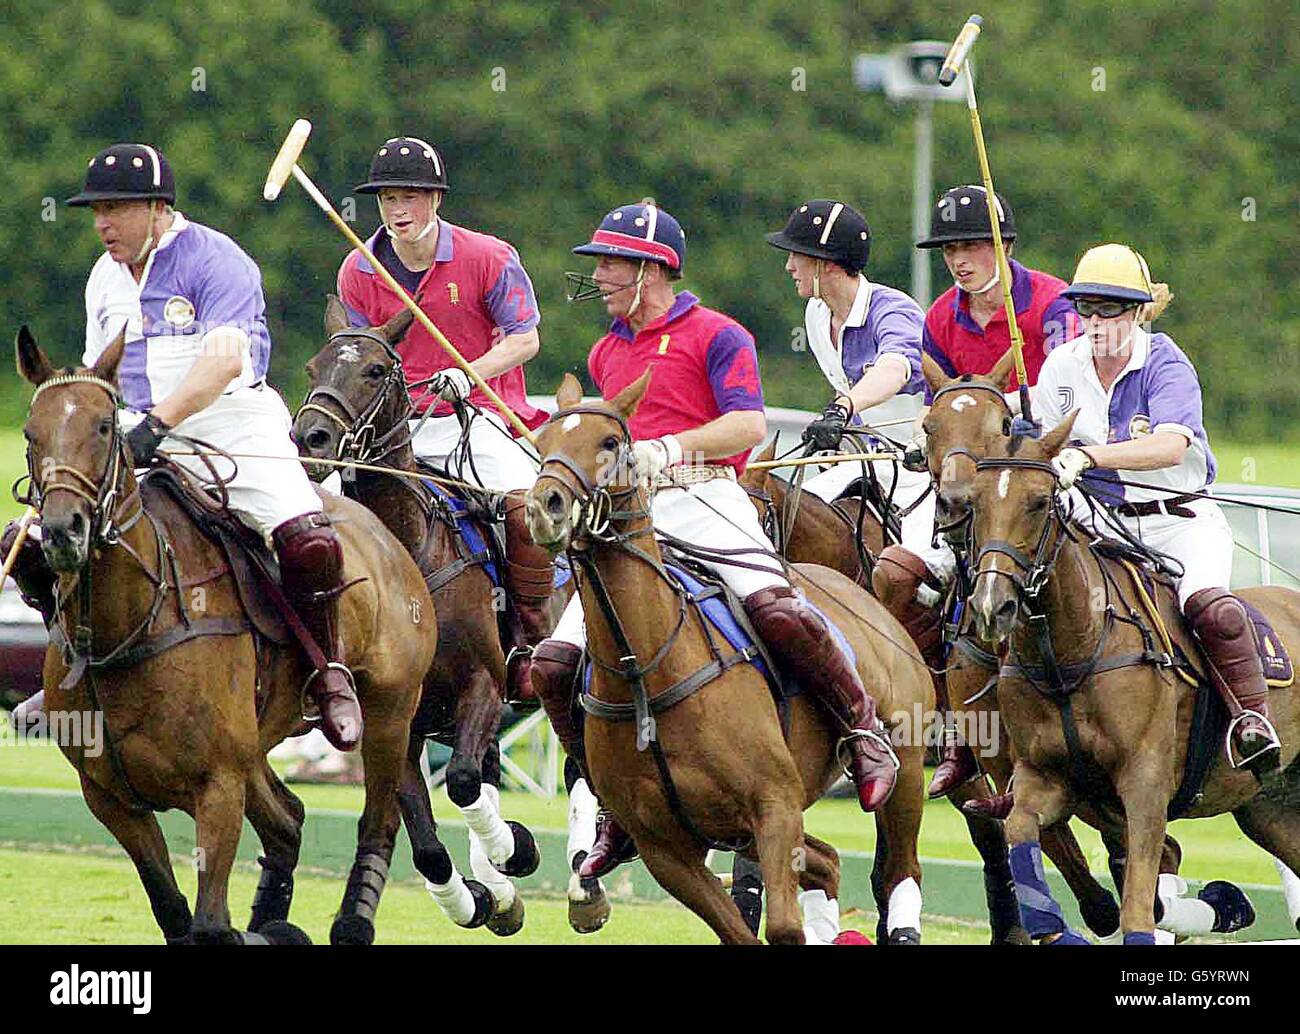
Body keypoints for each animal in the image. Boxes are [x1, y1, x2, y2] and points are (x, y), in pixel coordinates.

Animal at [16, 325, 431, 946]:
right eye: (30, 433)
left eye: (105, 427)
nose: (65, 532)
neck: (124, 632)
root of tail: (387, 535)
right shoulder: (110, 798)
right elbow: (175, 915)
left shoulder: (218, 786)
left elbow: (210, 925)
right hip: (259, 740)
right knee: (288, 821)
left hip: (390, 711)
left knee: (376, 818)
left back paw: (352, 920)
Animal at [295, 295, 574, 936]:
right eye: (314, 366)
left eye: (375, 370)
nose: (310, 436)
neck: (410, 554)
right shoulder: (394, 716)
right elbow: (425, 841)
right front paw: (483, 899)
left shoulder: (486, 682)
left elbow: (465, 782)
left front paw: (515, 850)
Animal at [520, 374, 935, 946]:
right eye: (542, 444)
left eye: (611, 443)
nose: (546, 506)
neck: (645, 669)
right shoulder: (666, 851)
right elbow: (740, 931)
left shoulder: (774, 804)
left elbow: (783, 928)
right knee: (827, 862)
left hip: (907, 769)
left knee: (900, 869)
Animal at [961, 416, 1300, 941]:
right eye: (973, 502)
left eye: (1039, 501)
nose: (990, 606)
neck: (1070, 653)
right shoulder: (1045, 779)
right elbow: (1021, 829)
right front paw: (1053, 922)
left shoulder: (1145, 785)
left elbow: (1139, 909)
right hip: (1269, 806)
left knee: (1218, 611)